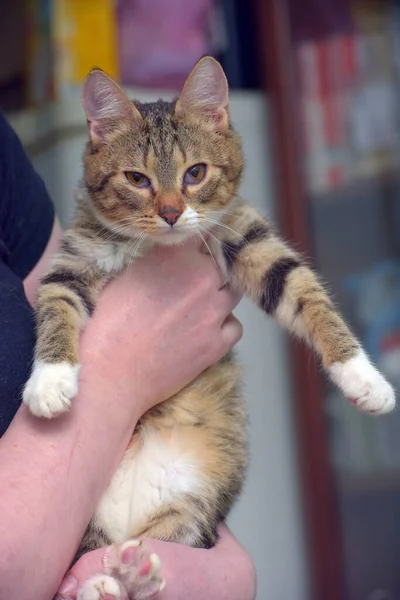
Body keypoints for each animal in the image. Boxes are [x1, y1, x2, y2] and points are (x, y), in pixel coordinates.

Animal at [23, 57, 396, 600]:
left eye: (195, 172)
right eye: (135, 178)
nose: (172, 213)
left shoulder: (245, 233)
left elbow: (304, 291)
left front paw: (363, 377)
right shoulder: (74, 259)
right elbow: (55, 306)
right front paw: (50, 381)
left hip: (189, 506)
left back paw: (130, 574)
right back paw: (108, 581)